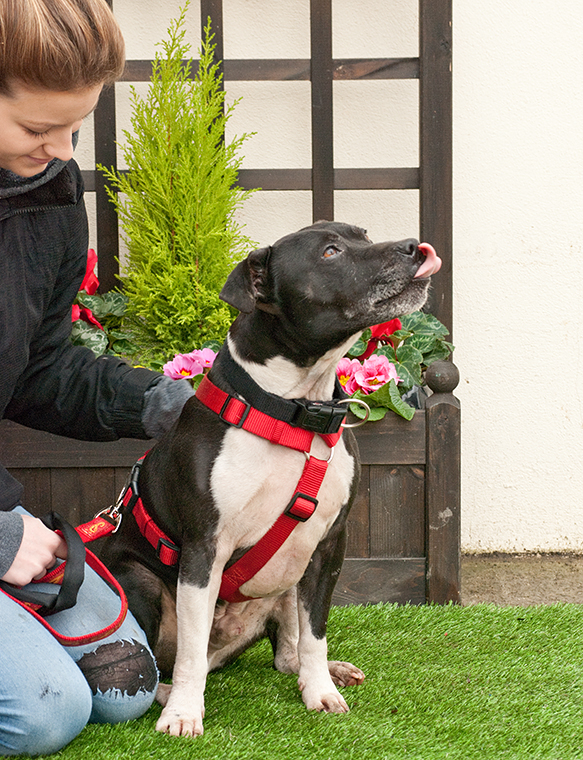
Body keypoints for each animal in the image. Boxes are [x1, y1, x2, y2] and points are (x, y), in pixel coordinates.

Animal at [100, 220, 440, 736]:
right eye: (330, 252)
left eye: (363, 235)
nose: (411, 246)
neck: (293, 410)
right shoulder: (203, 549)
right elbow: (189, 658)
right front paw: (183, 712)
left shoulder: (328, 546)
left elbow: (314, 634)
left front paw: (320, 690)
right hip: (138, 581)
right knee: (163, 664)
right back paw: (166, 696)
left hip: (288, 580)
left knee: (286, 652)